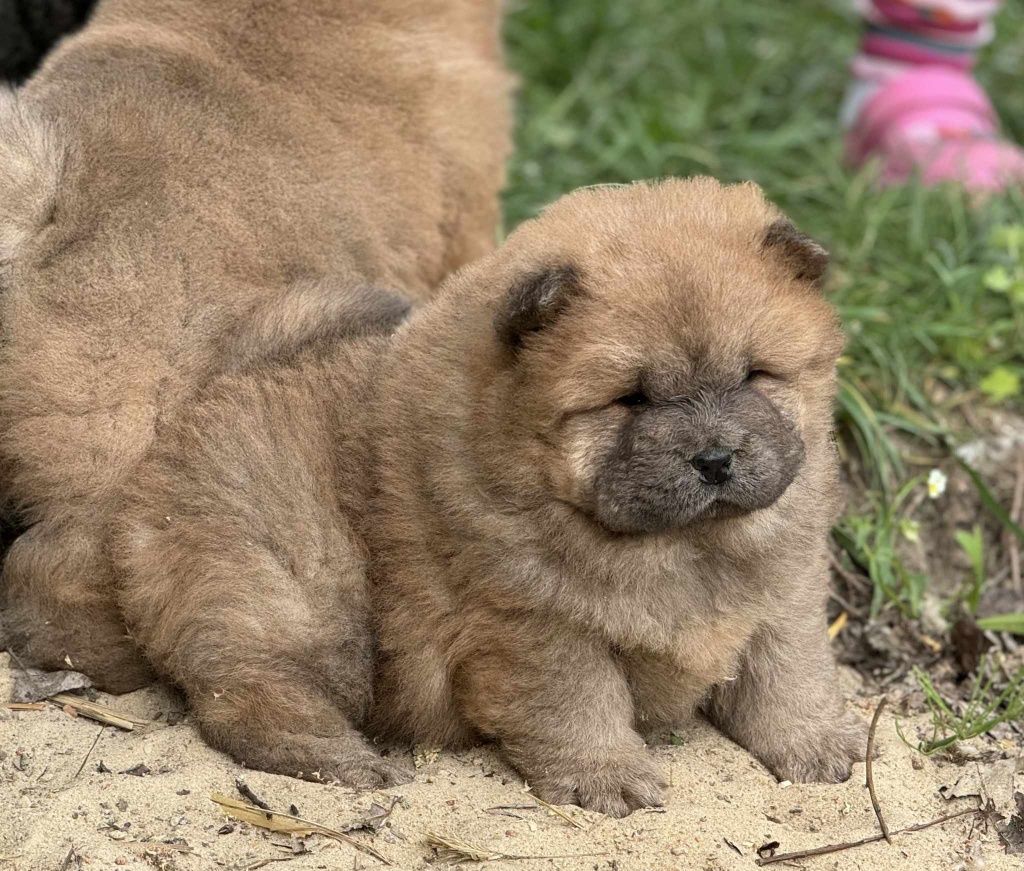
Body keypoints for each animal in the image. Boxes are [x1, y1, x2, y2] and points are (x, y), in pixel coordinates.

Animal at [112, 179, 864, 818]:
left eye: (755, 375)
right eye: (631, 398)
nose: (714, 459)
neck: (685, 549)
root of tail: (187, 422)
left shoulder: (785, 595)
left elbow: (789, 675)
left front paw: (819, 746)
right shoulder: (534, 624)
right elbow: (579, 702)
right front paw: (607, 778)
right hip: (296, 597)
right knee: (250, 697)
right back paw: (351, 761)